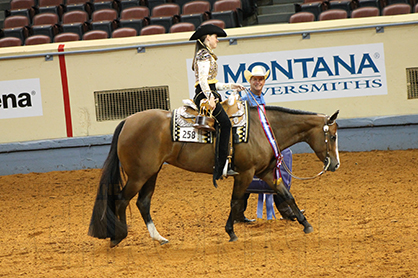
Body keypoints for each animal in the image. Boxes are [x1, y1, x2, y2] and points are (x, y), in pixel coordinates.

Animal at [88, 105, 340, 248]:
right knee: (122, 199)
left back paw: (158, 238)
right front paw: (231, 232)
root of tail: (127, 121)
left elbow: (287, 195)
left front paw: (306, 224)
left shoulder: (266, 173)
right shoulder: (246, 173)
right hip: (139, 174)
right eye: (334, 136)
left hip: (151, 172)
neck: (262, 129)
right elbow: (235, 201)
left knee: (143, 202)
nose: (335, 164)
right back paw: (117, 236)